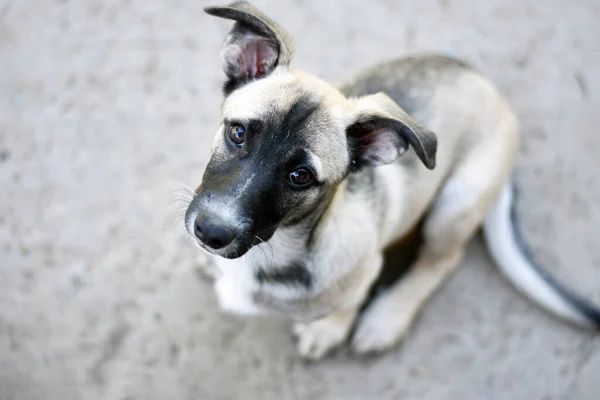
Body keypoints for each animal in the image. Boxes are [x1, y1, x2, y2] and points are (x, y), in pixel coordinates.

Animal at [184, 0, 600, 360]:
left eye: (300, 176)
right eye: (238, 133)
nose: (211, 232)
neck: (285, 245)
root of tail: (486, 84)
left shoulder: (366, 269)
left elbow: (350, 302)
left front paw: (330, 328)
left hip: (457, 202)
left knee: (442, 260)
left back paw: (386, 318)